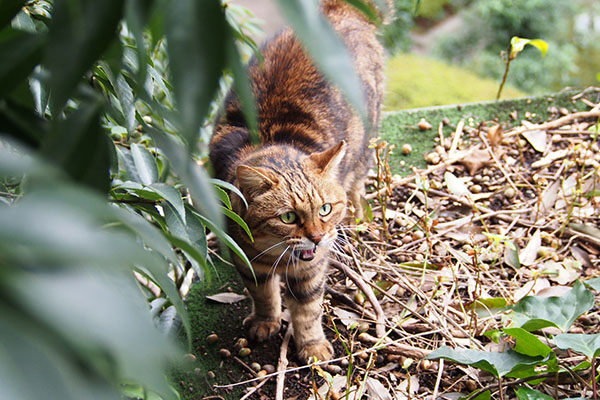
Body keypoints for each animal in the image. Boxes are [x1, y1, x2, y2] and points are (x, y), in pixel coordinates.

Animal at [209, 0, 392, 362]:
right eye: (288, 217)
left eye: (325, 209)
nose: (319, 237)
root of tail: (338, 9)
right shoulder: (249, 262)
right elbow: (264, 295)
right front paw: (266, 321)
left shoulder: (312, 269)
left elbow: (307, 309)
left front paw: (312, 345)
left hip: (364, 145)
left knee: (356, 186)